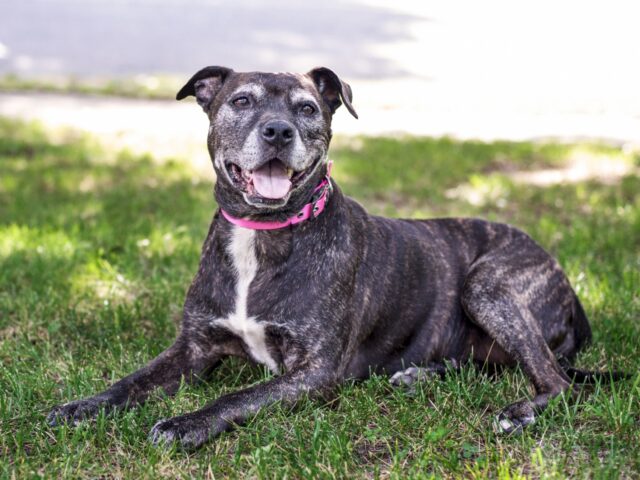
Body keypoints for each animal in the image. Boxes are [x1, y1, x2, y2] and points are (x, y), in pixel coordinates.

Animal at [50, 66, 608, 450]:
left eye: (307, 108)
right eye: (241, 100)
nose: (278, 131)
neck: (263, 233)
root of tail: (570, 289)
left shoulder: (315, 372)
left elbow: (237, 398)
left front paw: (187, 423)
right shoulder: (192, 348)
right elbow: (130, 381)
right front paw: (80, 407)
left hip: (487, 286)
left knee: (559, 382)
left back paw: (518, 412)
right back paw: (419, 375)